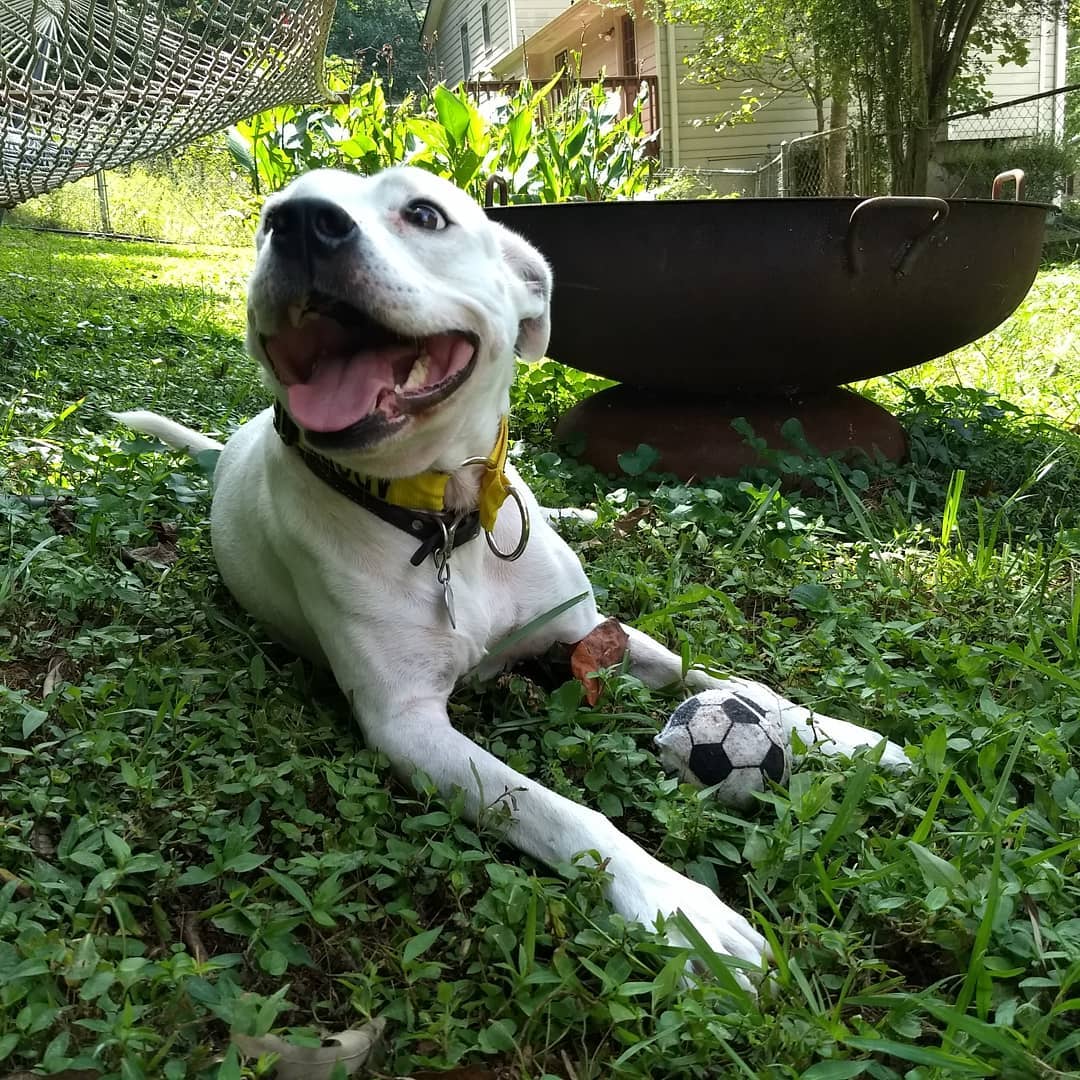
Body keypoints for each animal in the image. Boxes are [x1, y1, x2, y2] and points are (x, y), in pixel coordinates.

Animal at [116, 164, 911, 984]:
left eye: (424, 213)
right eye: (269, 217)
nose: (301, 222)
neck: (443, 520)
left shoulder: (590, 629)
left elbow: (714, 677)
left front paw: (832, 732)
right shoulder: (407, 725)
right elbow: (550, 806)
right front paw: (677, 905)